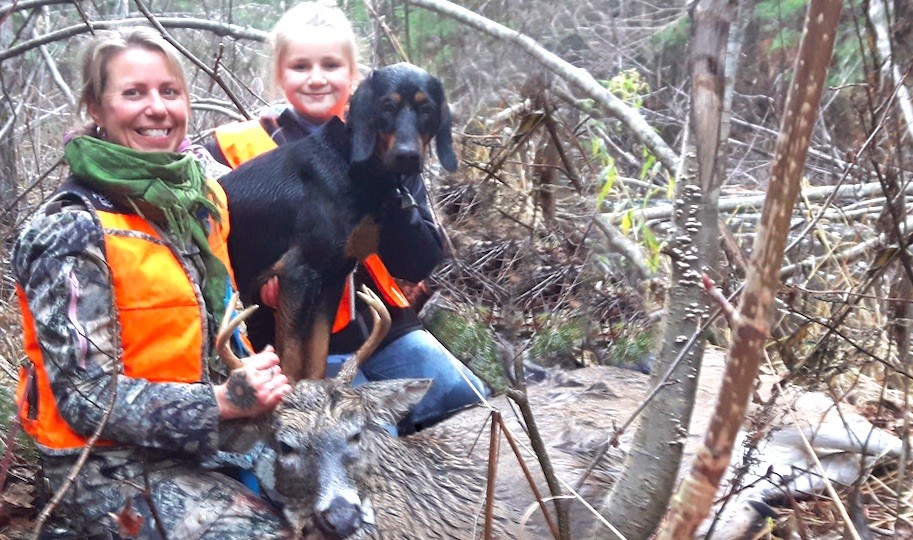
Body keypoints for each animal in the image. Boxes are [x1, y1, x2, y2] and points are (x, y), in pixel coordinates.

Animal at [221, 63, 456, 382]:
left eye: (427, 110)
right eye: (387, 106)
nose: (407, 156)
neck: (351, 167)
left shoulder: (333, 278)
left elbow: (316, 363)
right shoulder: (297, 273)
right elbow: (291, 365)